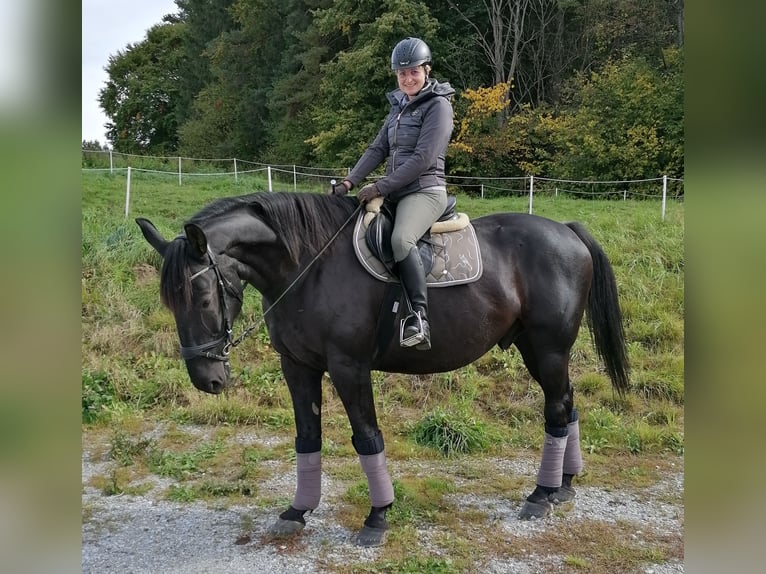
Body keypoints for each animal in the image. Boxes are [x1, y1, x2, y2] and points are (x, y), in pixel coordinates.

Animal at [138, 194, 632, 548]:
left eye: (204, 298)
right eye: (171, 304)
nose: (207, 379)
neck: (309, 267)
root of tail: (567, 231)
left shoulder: (348, 367)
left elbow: (367, 437)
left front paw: (377, 518)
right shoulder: (297, 366)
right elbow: (307, 438)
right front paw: (297, 512)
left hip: (548, 350)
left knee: (557, 410)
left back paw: (541, 495)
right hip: (541, 351)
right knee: (568, 406)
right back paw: (563, 486)